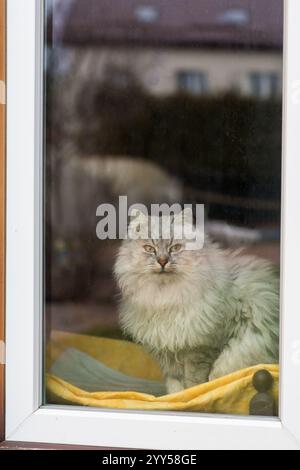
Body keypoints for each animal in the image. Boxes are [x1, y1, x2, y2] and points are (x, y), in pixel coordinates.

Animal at [115, 209, 278, 392]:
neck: (165, 298)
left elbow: (195, 382)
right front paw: (176, 397)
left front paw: (194, 394)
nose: (162, 261)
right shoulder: (167, 352)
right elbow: (175, 386)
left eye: (175, 248)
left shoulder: (201, 348)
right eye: (149, 248)